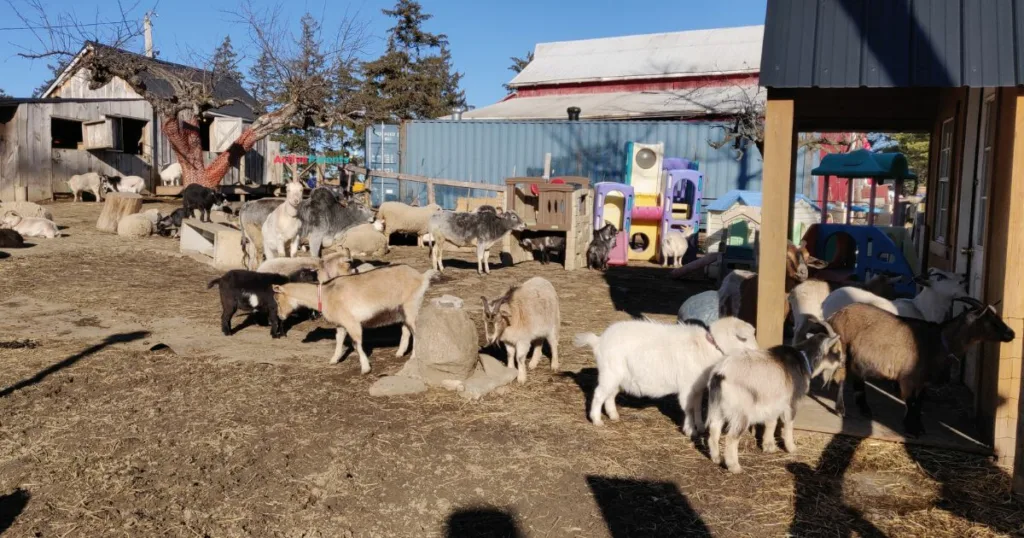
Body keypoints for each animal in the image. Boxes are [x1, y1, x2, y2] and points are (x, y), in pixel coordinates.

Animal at [272, 262, 436, 370]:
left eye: (278, 300)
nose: (280, 316)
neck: (325, 294)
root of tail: (421, 277)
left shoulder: (352, 322)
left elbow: (356, 343)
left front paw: (365, 368)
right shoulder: (341, 324)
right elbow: (339, 341)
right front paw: (333, 360)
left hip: (411, 305)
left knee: (416, 331)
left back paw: (414, 357)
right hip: (402, 310)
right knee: (406, 330)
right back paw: (400, 353)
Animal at [577, 315, 761, 436]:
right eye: (744, 338)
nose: (759, 351)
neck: (709, 346)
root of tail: (598, 341)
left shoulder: (698, 388)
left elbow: (697, 407)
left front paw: (700, 427)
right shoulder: (687, 387)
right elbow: (688, 408)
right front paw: (690, 430)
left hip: (619, 376)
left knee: (610, 395)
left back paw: (614, 416)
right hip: (610, 372)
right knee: (599, 394)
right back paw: (596, 420)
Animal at [708, 321, 843, 471]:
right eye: (837, 351)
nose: (842, 363)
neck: (803, 358)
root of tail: (721, 374)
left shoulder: (774, 401)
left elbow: (771, 422)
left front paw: (769, 446)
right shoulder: (791, 402)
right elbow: (788, 423)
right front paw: (791, 448)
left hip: (717, 407)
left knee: (714, 429)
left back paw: (716, 458)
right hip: (741, 412)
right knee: (731, 437)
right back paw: (734, 467)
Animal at [831, 297, 1015, 436]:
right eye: (991, 321)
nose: (1011, 333)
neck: (938, 341)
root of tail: (837, 314)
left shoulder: (922, 380)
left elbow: (919, 403)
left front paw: (918, 427)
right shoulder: (908, 378)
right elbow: (911, 402)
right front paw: (911, 429)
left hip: (857, 357)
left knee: (857, 378)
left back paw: (864, 408)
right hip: (843, 347)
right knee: (841, 377)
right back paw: (841, 409)